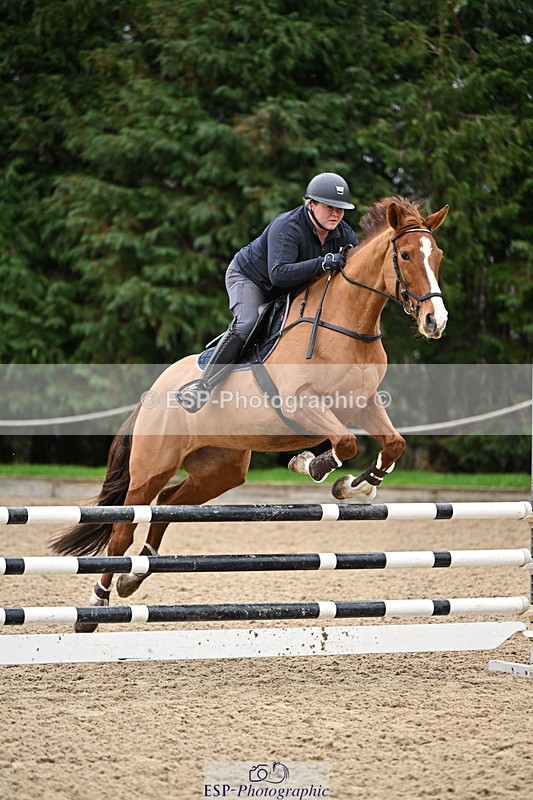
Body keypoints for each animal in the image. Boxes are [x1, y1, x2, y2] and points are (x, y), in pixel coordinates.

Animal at [50, 196, 449, 631]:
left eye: (438, 256)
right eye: (405, 255)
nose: (436, 321)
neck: (348, 326)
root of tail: (151, 395)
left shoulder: (364, 404)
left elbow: (393, 444)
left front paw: (353, 486)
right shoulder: (300, 403)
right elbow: (344, 442)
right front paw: (310, 464)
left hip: (220, 469)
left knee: (170, 503)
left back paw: (134, 576)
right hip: (151, 467)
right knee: (123, 529)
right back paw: (96, 605)